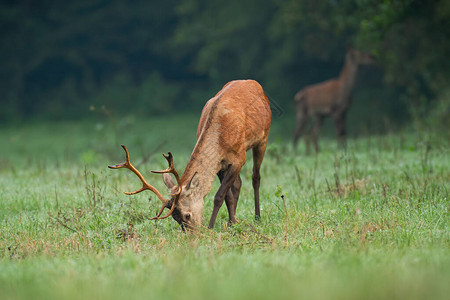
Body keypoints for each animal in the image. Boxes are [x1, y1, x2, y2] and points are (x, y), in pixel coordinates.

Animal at [110, 79, 270, 230]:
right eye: (175, 218)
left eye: (187, 215)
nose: (191, 234)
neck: (221, 135)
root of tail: (254, 84)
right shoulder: (220, 163)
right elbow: (227, 196)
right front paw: (231, 224)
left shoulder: (239, 158)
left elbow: (219, 196)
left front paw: (211, 227)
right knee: (238, 184)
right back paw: (234, 221)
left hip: (263, 138)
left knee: (256, 177)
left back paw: (257, 217)